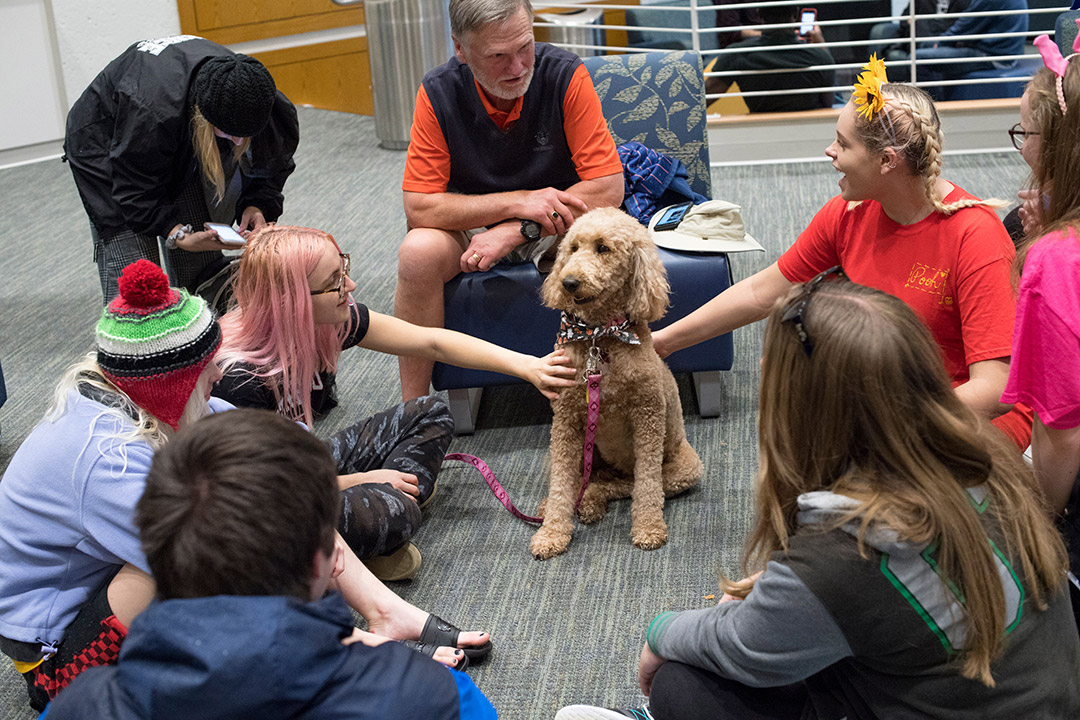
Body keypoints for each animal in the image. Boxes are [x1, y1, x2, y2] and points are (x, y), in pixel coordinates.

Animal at [533, 205, 704, 561]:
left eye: (603, 248)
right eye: (573, 248)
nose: (568, 282)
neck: (600, 337)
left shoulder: (648, 417)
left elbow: (647, 484)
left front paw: (649, 528)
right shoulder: (566, 422)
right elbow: (560, 484)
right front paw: (552, 533)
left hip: (687, 467)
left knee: (626, 485)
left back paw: (590, 501)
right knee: (577, 479)